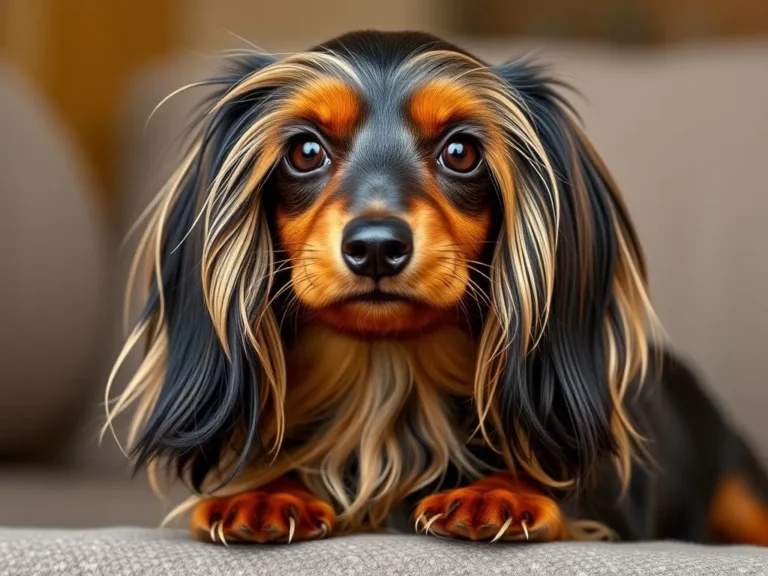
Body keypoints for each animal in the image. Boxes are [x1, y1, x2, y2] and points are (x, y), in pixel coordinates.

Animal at [106, 30, 768, 544]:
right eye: (305, 150)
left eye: (461, 151)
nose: (376, 246)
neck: (387, 378)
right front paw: (265, 493)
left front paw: (497, 492)